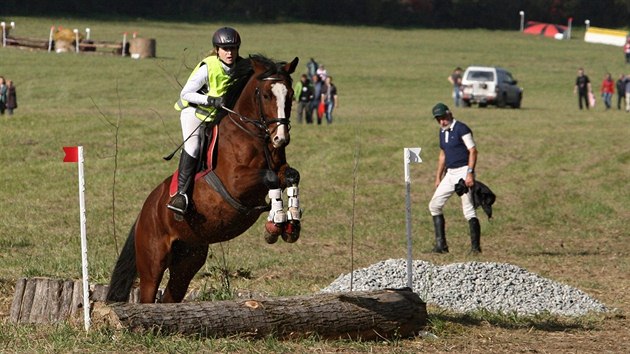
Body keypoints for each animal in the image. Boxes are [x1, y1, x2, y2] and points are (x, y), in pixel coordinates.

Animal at [107, 54, 304, 302]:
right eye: (267, 95)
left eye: (290, 94)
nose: (281, 138)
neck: (254, 137)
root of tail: (145, 211)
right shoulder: (235, 182)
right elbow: (270, 178)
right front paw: (276, 222)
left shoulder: (281, 170)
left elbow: (291, 176)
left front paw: (291, 222)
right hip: (153, 262)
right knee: (148, 295)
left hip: (188, 258)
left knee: (170, 296)